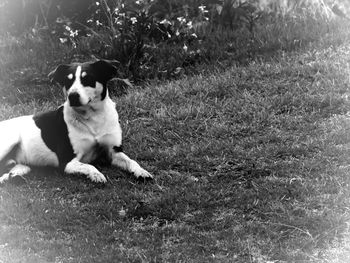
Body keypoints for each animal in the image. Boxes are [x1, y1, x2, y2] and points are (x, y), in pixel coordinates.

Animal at [0, 59, 153, 184]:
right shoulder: (67, 162)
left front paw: (141, 171)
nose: (72, 96)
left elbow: (131, 161)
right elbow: (89, 165)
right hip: (10, 140)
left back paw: (13, 175)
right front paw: (96, 175)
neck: (93, 118)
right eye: (68, 81)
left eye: (88, 79)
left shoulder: (114, 152)